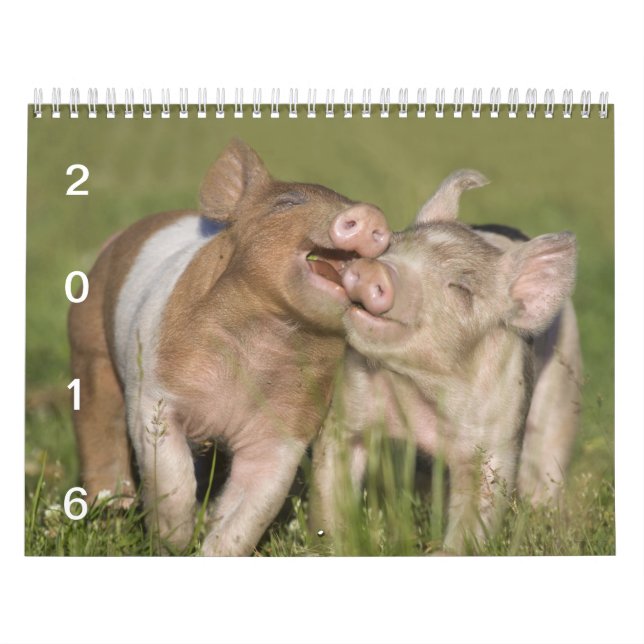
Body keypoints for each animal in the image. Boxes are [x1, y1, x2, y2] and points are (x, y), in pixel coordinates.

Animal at [68, 139, 391, 556]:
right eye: (286, 202)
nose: (369, 213)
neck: (264, 342)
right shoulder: (152, 391)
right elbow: (170, 476)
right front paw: (175, 542)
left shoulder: (286, 429)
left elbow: (252, 507)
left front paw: (208, 548)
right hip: (87, 343)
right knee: (98, 421)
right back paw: (110, 511)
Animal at [310, 170, 580, 553]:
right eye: (392, 245)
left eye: (461, 289)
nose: (377, 270)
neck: (422, 387)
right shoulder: (347, 407)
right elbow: (331, 480)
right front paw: (336, 546)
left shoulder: (497, 435)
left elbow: (479, 508)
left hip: (563, 381)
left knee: (547, 458)